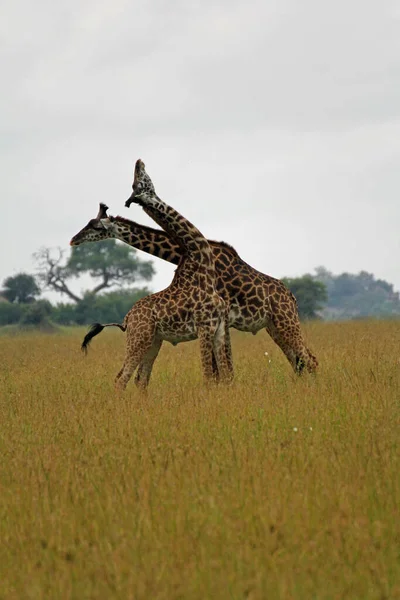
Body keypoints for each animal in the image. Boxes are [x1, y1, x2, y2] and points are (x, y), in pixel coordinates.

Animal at [70, 205, 318, 376]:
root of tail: (292, 297)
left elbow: (223, 367)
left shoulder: (221, 318)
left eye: (95, 226)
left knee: (310, 359)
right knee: (299, 360)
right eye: (87, 222)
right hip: (273, 326)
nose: (73, 239)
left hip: (285, 320)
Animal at [81, 159, 231, 392]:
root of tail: (126, 319)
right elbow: (208, 376)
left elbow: (223, 375)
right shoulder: (205, 327)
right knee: (121, 378)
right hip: (139, 339)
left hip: (153, 341)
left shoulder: (219, 328)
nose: (139, 162)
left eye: (138, 181)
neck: (205, 269)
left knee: (140, 379)